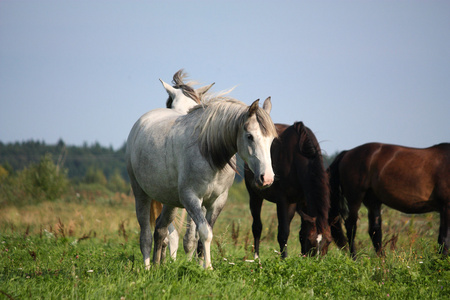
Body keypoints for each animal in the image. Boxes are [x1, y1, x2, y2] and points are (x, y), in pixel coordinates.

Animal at [125, 96, 276, 270]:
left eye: (271, 139)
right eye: (250, 136)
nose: (267, 178)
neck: (209, 154)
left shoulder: (217, 202)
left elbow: (203, 236)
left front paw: (202, 266)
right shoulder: (191, 198)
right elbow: (205, 233)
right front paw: (208, 268)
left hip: (169, 203)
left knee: (160, 230)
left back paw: (157, 266)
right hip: (140, 194)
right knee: (145, 235)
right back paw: (147, 268)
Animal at [246, 122, 330, 258]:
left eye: (328, 242)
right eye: (310, 242)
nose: (316, 260)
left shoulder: (304, 201)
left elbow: (302, 232)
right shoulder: (282, 200)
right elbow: (283, 233)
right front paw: (284, 258)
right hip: (255, 195)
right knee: (257, 227)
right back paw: (256, 258)